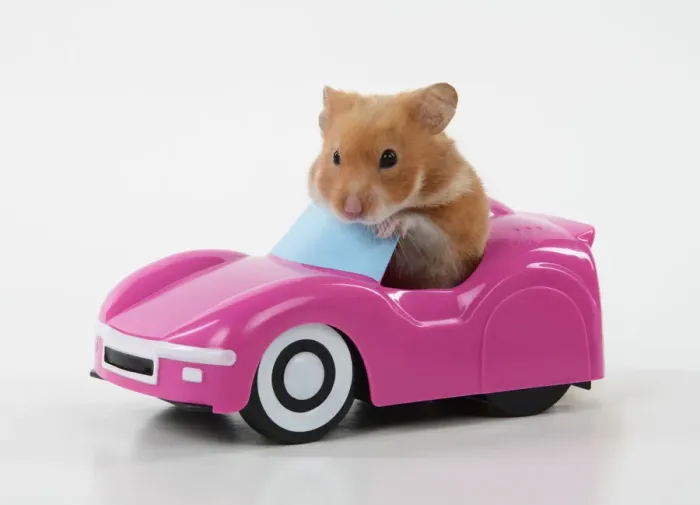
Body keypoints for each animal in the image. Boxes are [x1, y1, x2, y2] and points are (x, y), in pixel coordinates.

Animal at [307, 82, 490, 290]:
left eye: (389, 157)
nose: (350, 211)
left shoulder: (455, 238)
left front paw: (388, 227)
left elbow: (423, 224)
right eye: (335, 156)